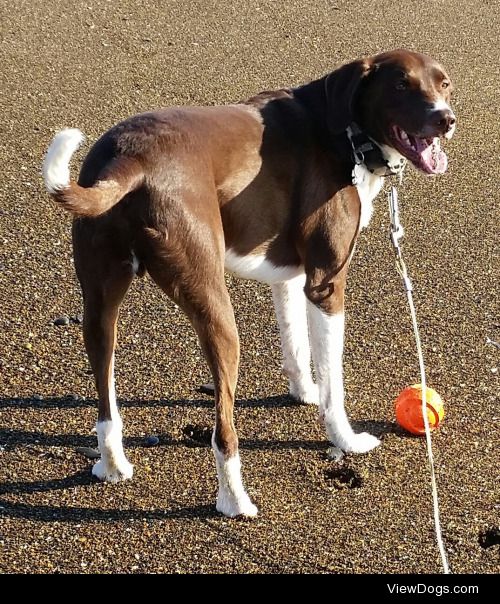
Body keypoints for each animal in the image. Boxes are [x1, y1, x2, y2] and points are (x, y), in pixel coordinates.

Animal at [45, 49, 456, 516]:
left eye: (443, 84)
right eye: (401, 85)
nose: (446, 119)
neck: (346, 134)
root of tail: (127, 162)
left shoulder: (291, 279)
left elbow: (295, 345)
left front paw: (303, 391)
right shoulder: (326, 285)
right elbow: (334, 383)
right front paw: (346, 439)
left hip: (98, 306)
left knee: (105, 400)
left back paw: (113, 465)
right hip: (216, 312)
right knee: (222, 429)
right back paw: (234, 500)